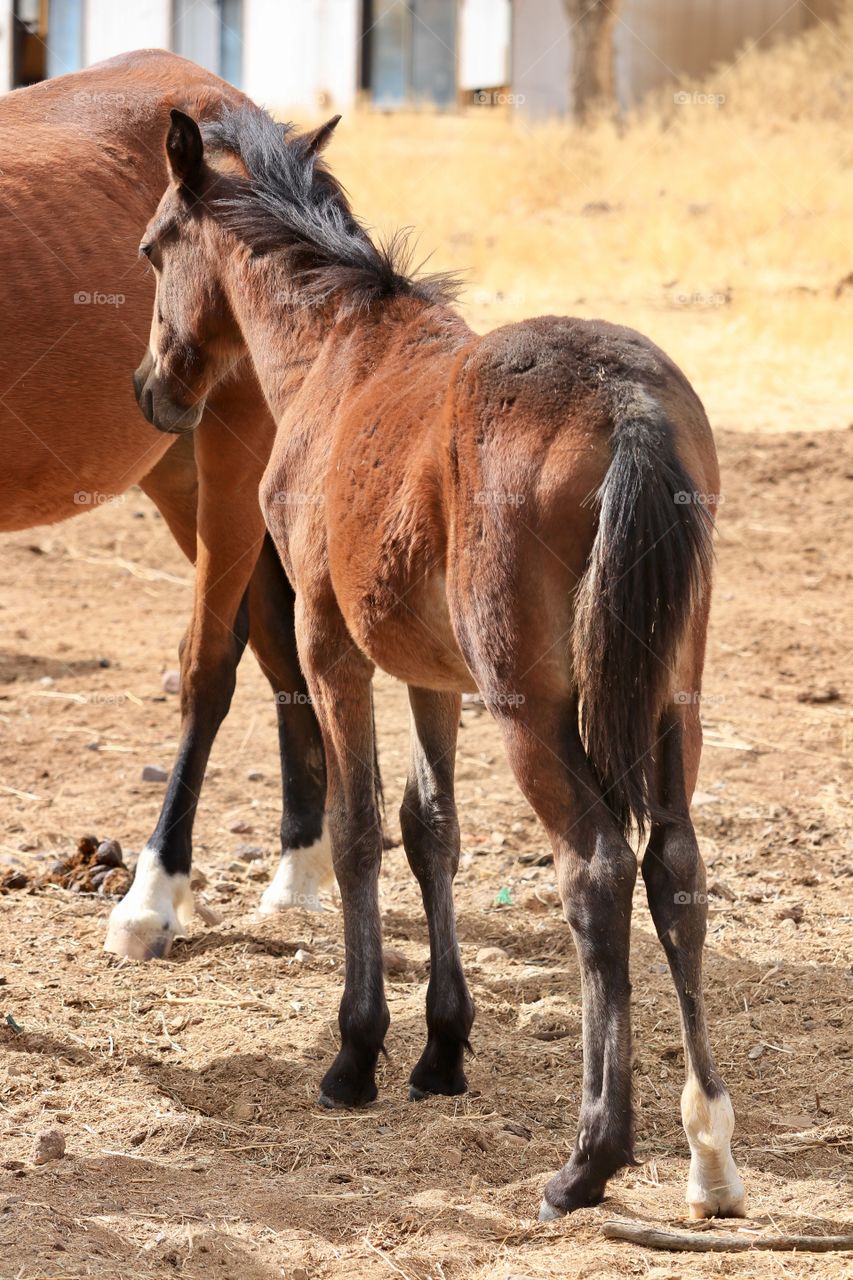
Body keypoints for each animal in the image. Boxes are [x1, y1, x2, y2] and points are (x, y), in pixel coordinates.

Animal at [136, 102, 742, 1218]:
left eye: (155, 248)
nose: (153, 391)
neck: (336, 354)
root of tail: (627, 404)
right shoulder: (428, 674)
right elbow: (432, 832)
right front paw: (443, 1050)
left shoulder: (333, 649)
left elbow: (357, 829)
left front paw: (357, 1054)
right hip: (671, 694)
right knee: (675, 868)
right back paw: (709, 1150)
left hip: (529, 706)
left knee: (596, 870)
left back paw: (590, 1156)